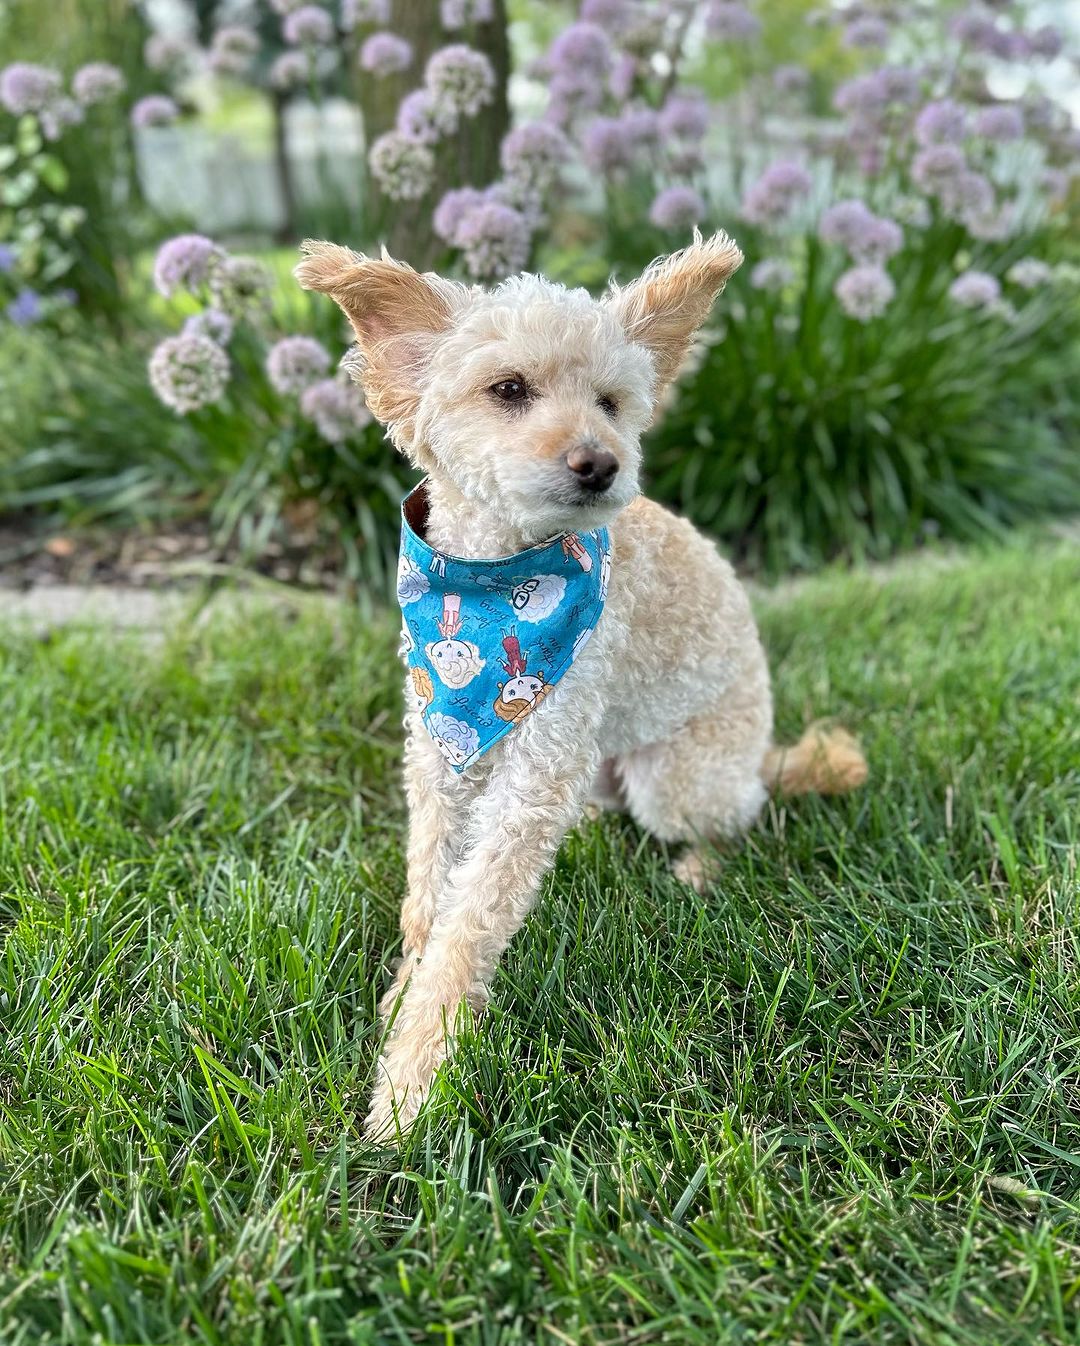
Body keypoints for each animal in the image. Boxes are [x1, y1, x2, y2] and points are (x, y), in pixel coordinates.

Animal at [296, 231, 867, 1136]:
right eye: (509, 389)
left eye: (610, 401)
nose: (601, 462)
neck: (497, 581)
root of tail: (761, 753)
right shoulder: (436, 755)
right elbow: (427, 895)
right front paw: (399, 1000)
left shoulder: (535, 771)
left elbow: (468, 930)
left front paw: (413, 1083)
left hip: (680, 779)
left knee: (737, 814)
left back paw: (700, 867)